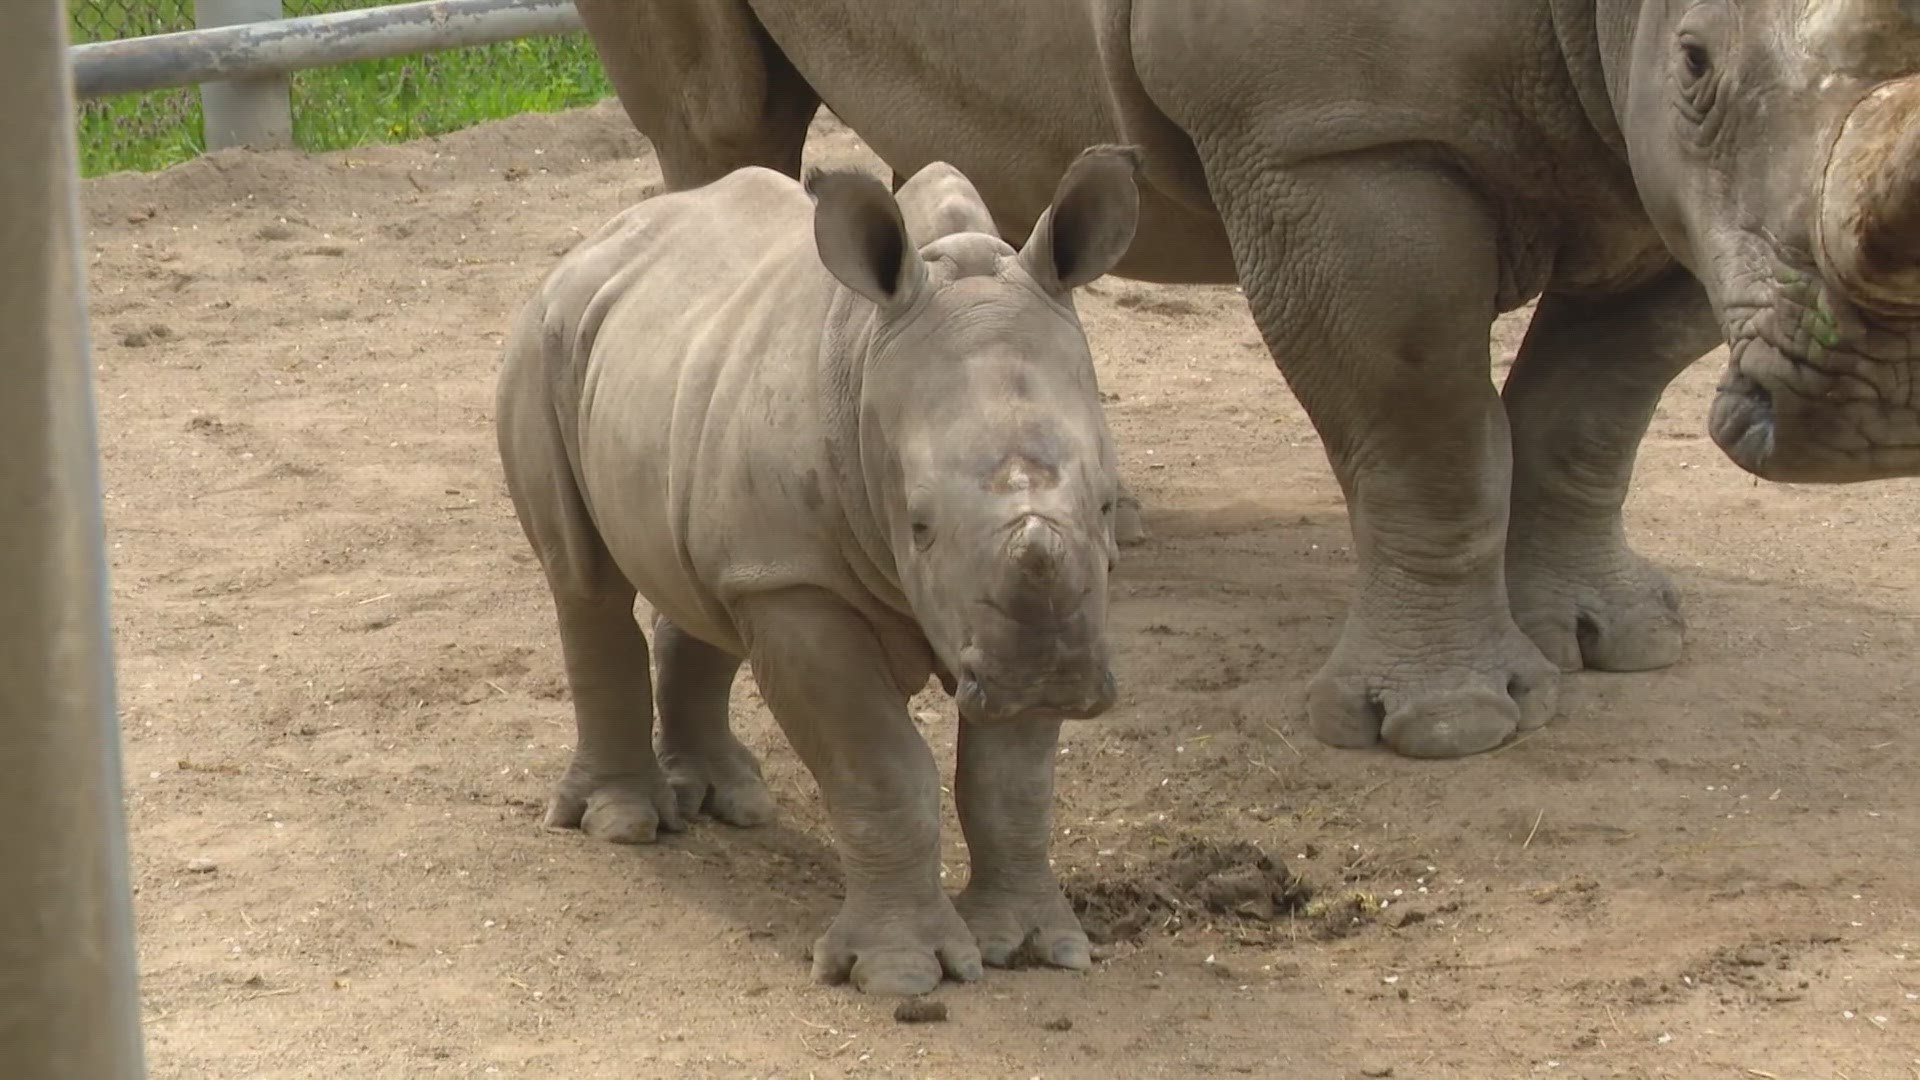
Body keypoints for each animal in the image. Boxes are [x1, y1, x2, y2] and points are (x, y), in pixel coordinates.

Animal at [503, 145, 1144, 991]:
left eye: (1107, 506)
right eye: (920, 525)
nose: (1054, 679)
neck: (868, 356)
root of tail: (599, 238)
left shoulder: (1036, 606)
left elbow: (1013, 782)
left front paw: (1034, 947)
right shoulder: (799, 584)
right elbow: (881, 767)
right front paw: (902, 974)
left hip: (683, 376)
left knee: (704, 584)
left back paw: (732, 803)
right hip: (546, 340)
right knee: (587, 582)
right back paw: (623, 824)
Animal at [576, 0, 1920, 757]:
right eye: (1694, 65)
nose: (1874, 421)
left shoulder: (1666, 178)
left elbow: (1592, 411)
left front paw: (1616, 641)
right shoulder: (1334, 137)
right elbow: (1430, 431)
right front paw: (1449, 727)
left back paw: (1115, 524)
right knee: (722, 120)